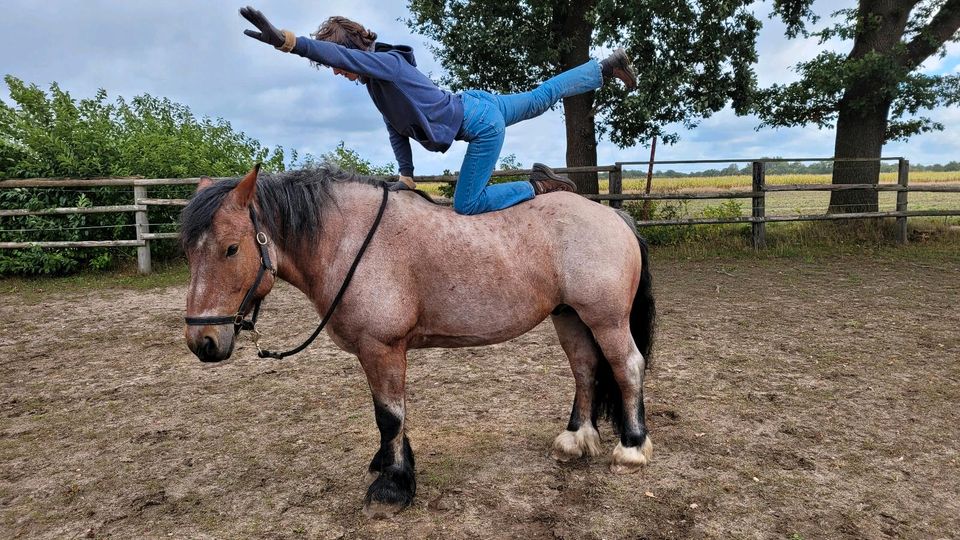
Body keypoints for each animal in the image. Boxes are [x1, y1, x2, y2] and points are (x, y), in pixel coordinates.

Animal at [180, 163, 656, 520]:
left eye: (231, 248)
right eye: (188, 251)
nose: (203, 341)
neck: (349, 240)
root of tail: (613, 216)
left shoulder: (382, 347)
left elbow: (389, 417)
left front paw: (391, 488)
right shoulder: (375, 353)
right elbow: (391, 413)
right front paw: (392, 467)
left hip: (606, 319)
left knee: (627, 366)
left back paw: (632, 448)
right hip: (569, 317)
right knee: (585, 369)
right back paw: (575, 439)